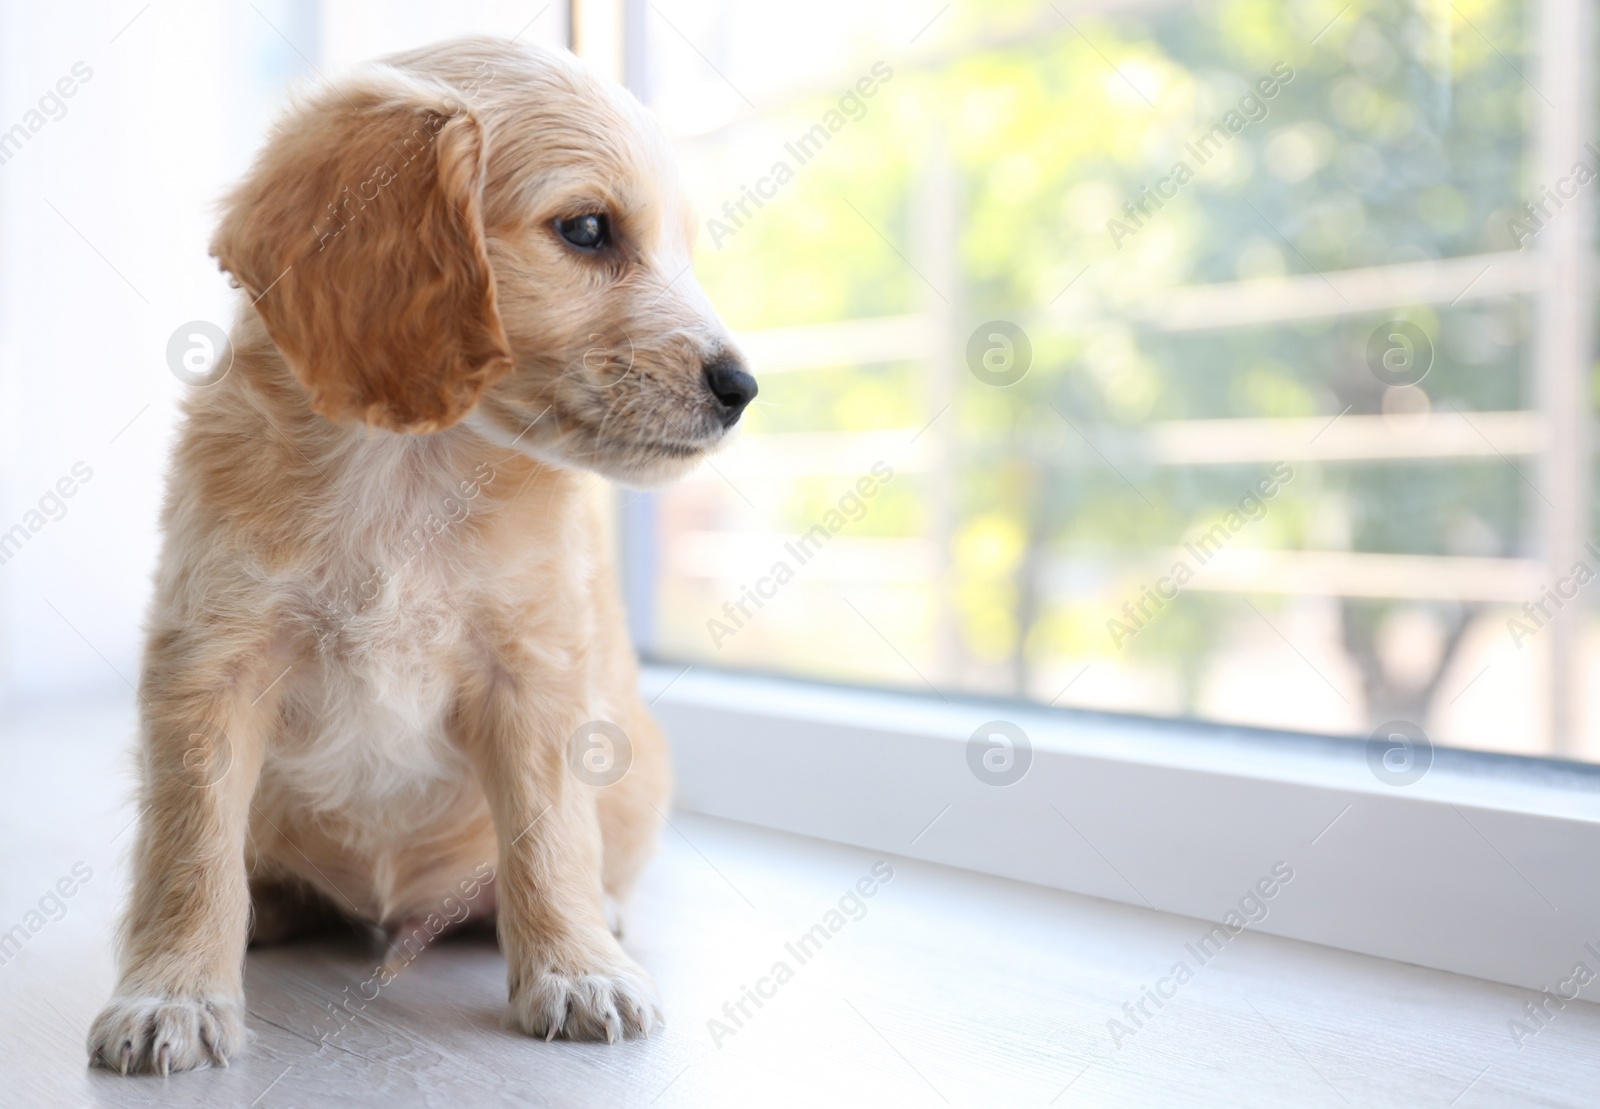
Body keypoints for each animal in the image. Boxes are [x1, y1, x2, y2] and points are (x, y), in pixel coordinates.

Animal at [89, 36, 755, 1075]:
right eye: (589, 229)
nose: (742, 387)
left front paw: (576, 967)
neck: (408, 466)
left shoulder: (533, 670)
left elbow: (550, 835)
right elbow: (189, 847)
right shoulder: (208, 662)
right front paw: (171, 991)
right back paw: (267, 904)